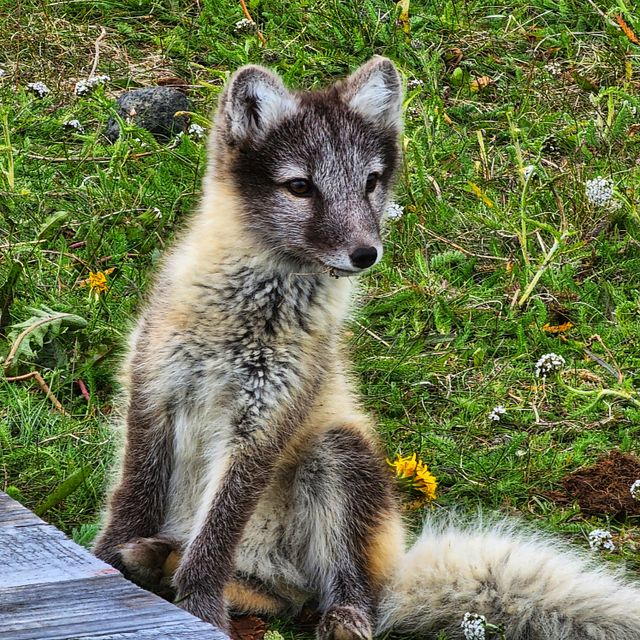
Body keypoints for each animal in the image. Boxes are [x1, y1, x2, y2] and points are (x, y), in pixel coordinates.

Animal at [93, 57, 640, 640]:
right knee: (277, 596)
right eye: (300, 187)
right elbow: (133, 495)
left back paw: (340, 615)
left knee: (321, 597)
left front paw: (198, 607)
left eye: (371, 183)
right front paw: (107, 561)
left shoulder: (264, 422)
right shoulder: (153, 389)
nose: (365, 253)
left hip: (338, 451)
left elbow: (217, 534)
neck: (249, 315)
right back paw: (154, 559)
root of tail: (395, 572)